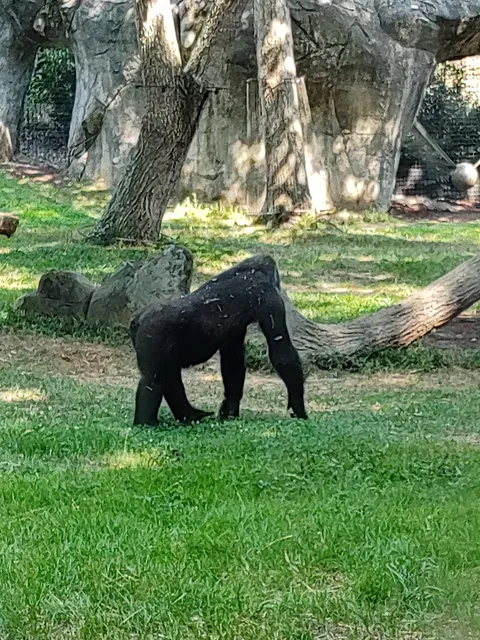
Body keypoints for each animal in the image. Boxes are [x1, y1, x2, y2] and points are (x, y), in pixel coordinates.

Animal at [130, 254, 308, 426]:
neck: (252, 271)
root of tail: (138, 318)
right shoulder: (270, 298)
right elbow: (281, 352)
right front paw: (299, 408)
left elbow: (233, 361)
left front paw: (229, 410)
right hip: (153, 333)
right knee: (152, 380)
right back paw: (147, 422)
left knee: (169, 376)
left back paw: (189, 415)